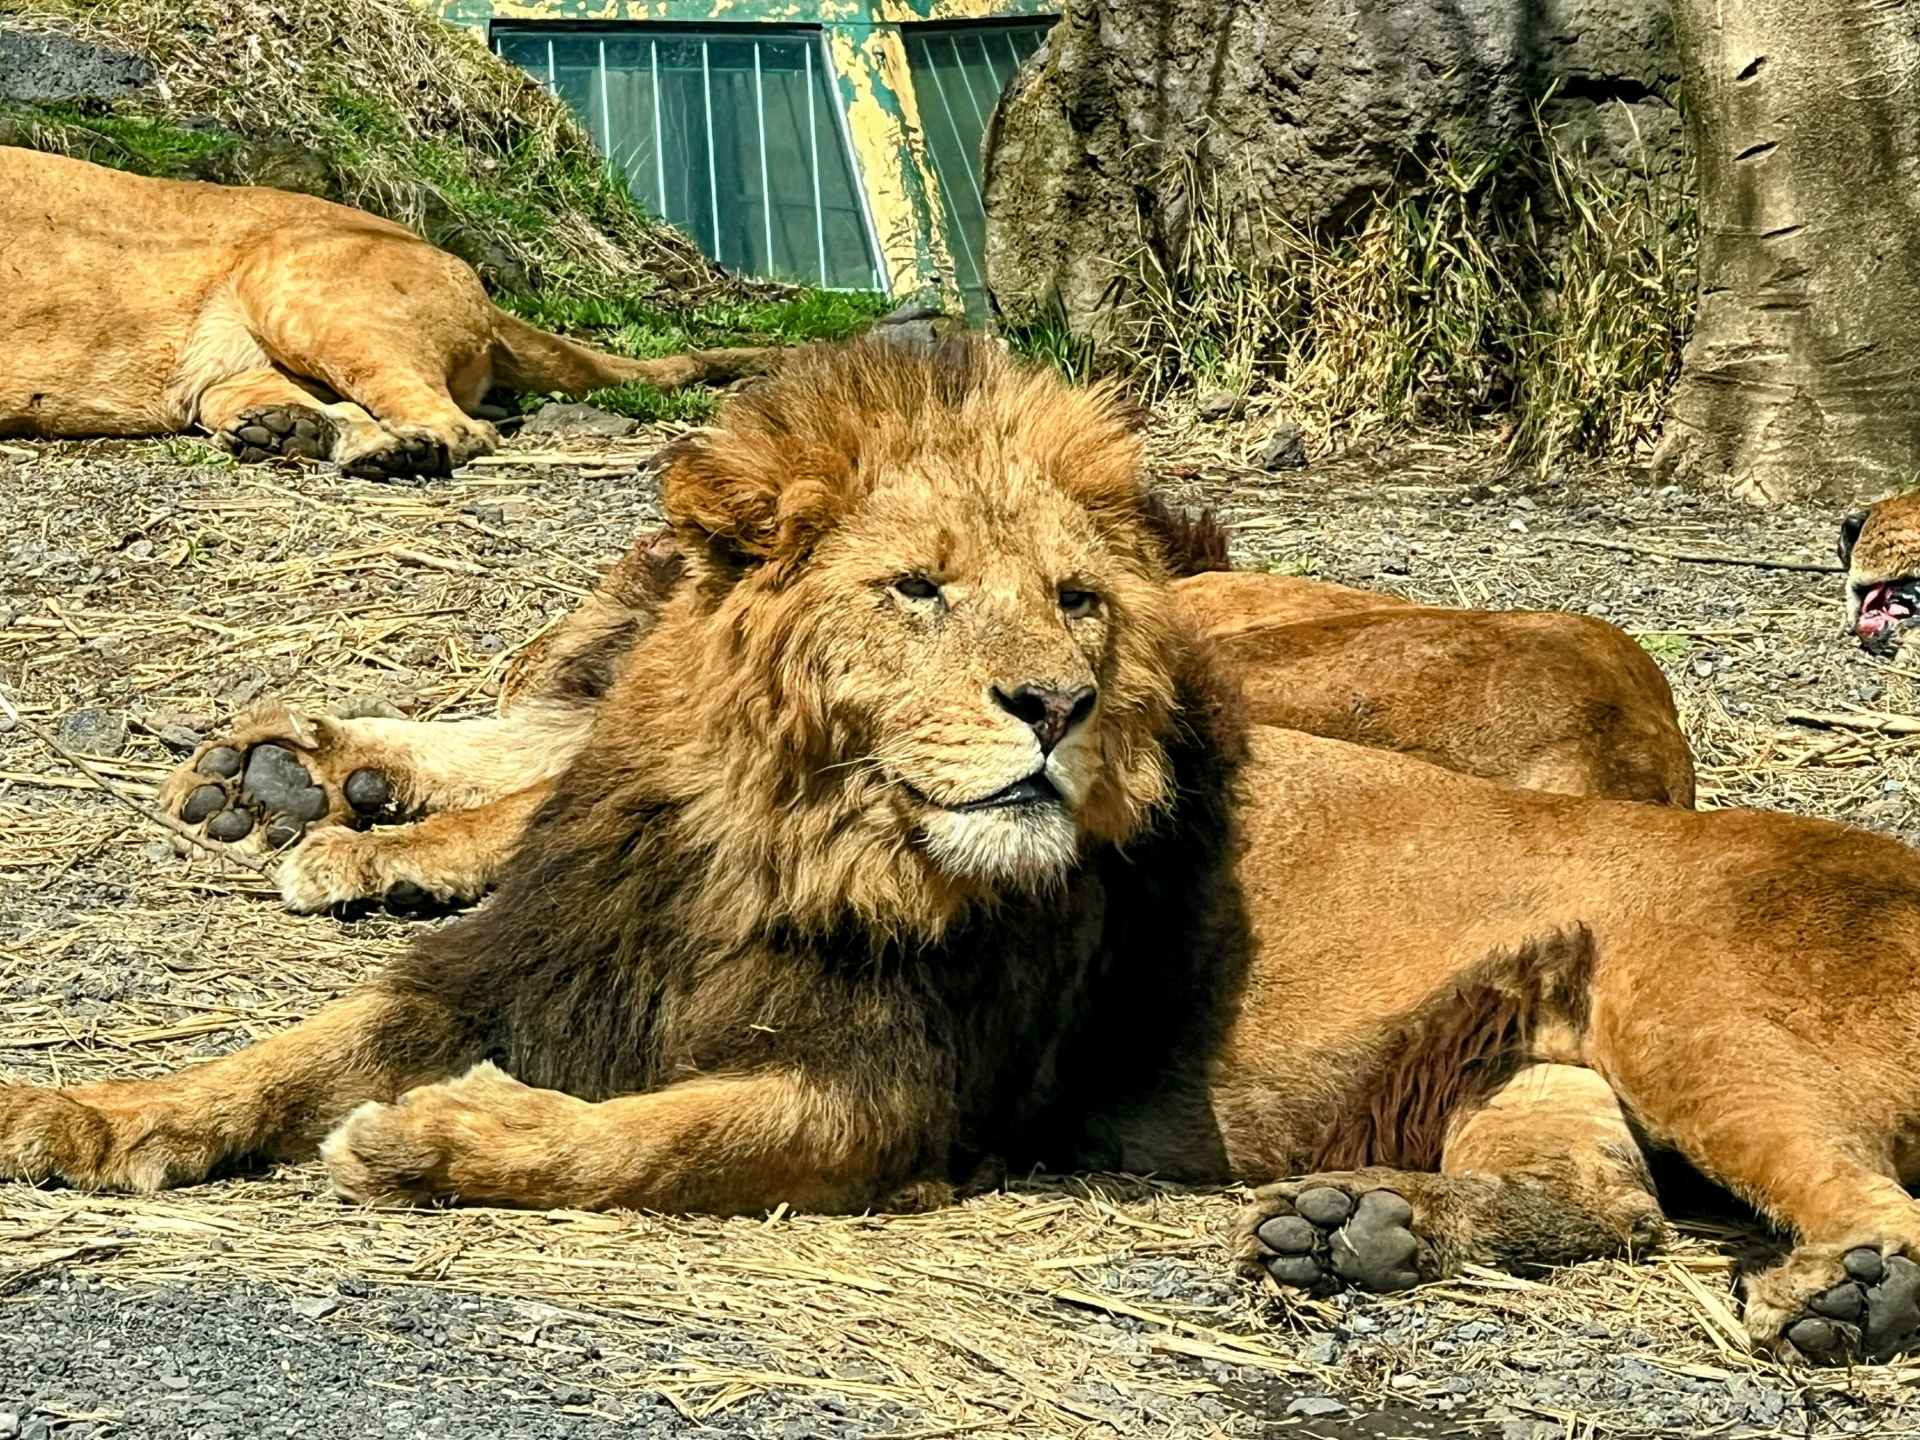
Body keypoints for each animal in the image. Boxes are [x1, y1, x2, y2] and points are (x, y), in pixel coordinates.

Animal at [3, 341, 1904, 1374]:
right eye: (915, 590)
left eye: (1073, 599)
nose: (1057, 704)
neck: (785, 834)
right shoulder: (513, 963)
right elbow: (279, 1052)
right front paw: (81, 1115)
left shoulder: (887, 1096)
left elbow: (650, 1140)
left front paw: (447, 1135)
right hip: (1529, 1061)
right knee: (1602, 1194)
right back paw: (1353, 1231)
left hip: (1686, 1014)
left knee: (1860, 1204)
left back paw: (1845, 1302)